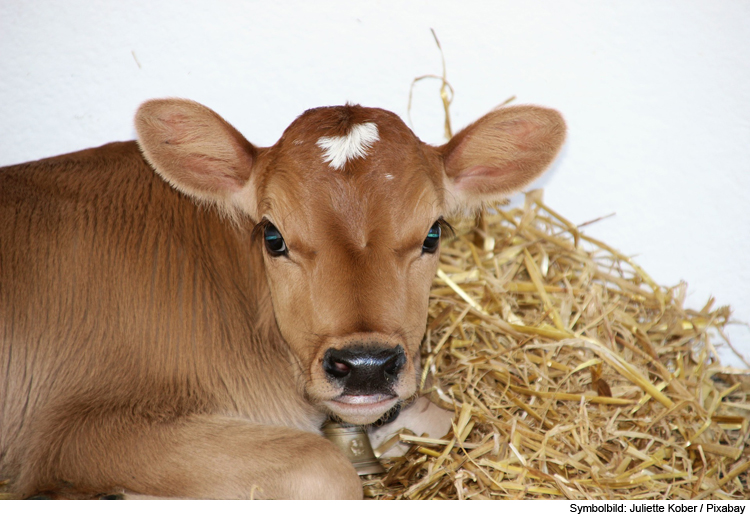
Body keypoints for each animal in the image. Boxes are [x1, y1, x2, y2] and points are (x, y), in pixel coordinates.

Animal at [0, 99, 564, 500]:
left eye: (432, 233)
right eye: (273, 237)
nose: (366, 367)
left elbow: (447, 420)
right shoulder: (78, 429)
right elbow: (328, 470)